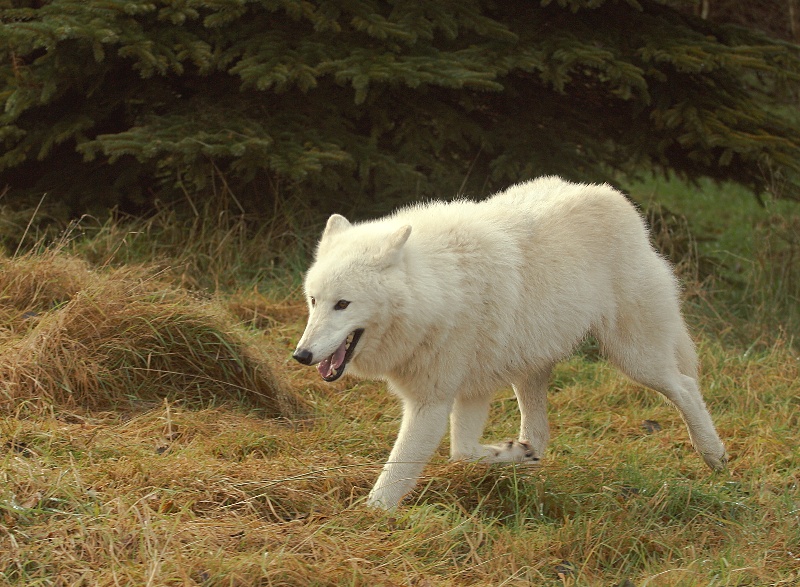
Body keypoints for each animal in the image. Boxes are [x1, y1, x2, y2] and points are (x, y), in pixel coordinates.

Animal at [293, 176, 727, 510]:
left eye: (343, 304)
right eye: (314, 301)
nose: (301, 355)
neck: (437, 291)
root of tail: (618, 200)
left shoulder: (432, 402)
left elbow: (400, 471)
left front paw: (371, 518)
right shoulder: (470, 392)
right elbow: (462, 452)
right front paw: (510, 453)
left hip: (635, 358)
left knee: (686, 386)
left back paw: (714, 454)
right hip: (529, 369)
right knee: (541, 433)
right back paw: (527, 460)